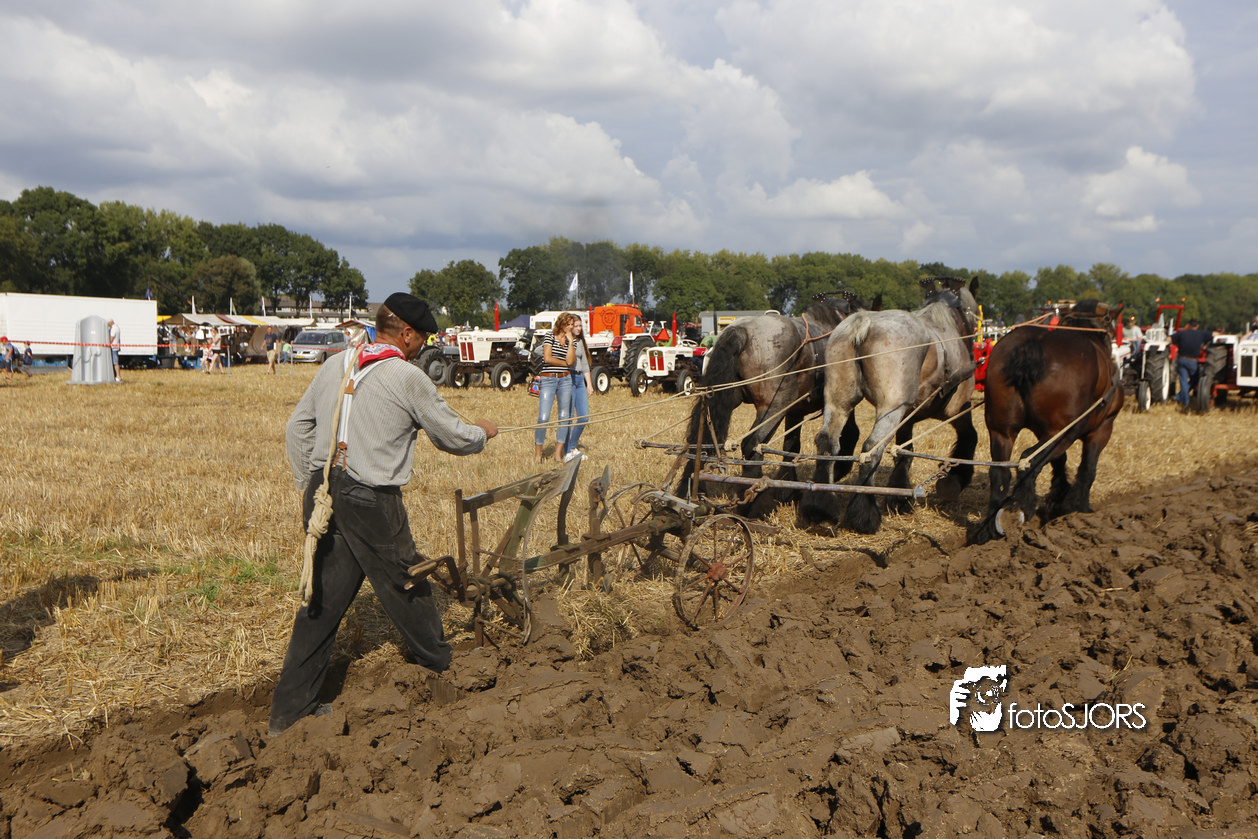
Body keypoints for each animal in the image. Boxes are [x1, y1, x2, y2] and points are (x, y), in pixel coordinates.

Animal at [675, 291, 879, 515]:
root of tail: (741, 331)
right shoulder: (838, 403)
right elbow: (851, 434)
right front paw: (839, 471)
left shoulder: (795, 411)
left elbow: (791, 444)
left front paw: (788, 489)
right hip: (774, 406)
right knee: (753, 444)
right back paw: (754, 502)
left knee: (702, 442)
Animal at [802, 277, 981, 534]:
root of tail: (863, 323)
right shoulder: (957, 409)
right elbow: (970, 437)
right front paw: (954, 480)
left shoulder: (907, 417)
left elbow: (904, 451)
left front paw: (900, 496)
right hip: (890, 408)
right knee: (872, 448)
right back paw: (865, 514)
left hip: (839, 402)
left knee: (827, 441)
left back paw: (820, 508)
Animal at [967, 300, 1124, 545]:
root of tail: (1030, 348)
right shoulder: (1102, 429)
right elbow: (1088, 468)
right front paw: (1077, 507)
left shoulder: (1044, 432)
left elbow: (1060, 462)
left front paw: (1059, 498)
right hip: (1067, 431)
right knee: (1028, 460)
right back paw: (1023, 508)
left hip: (1002, 431)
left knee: (1000, 473)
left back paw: (989, 528)